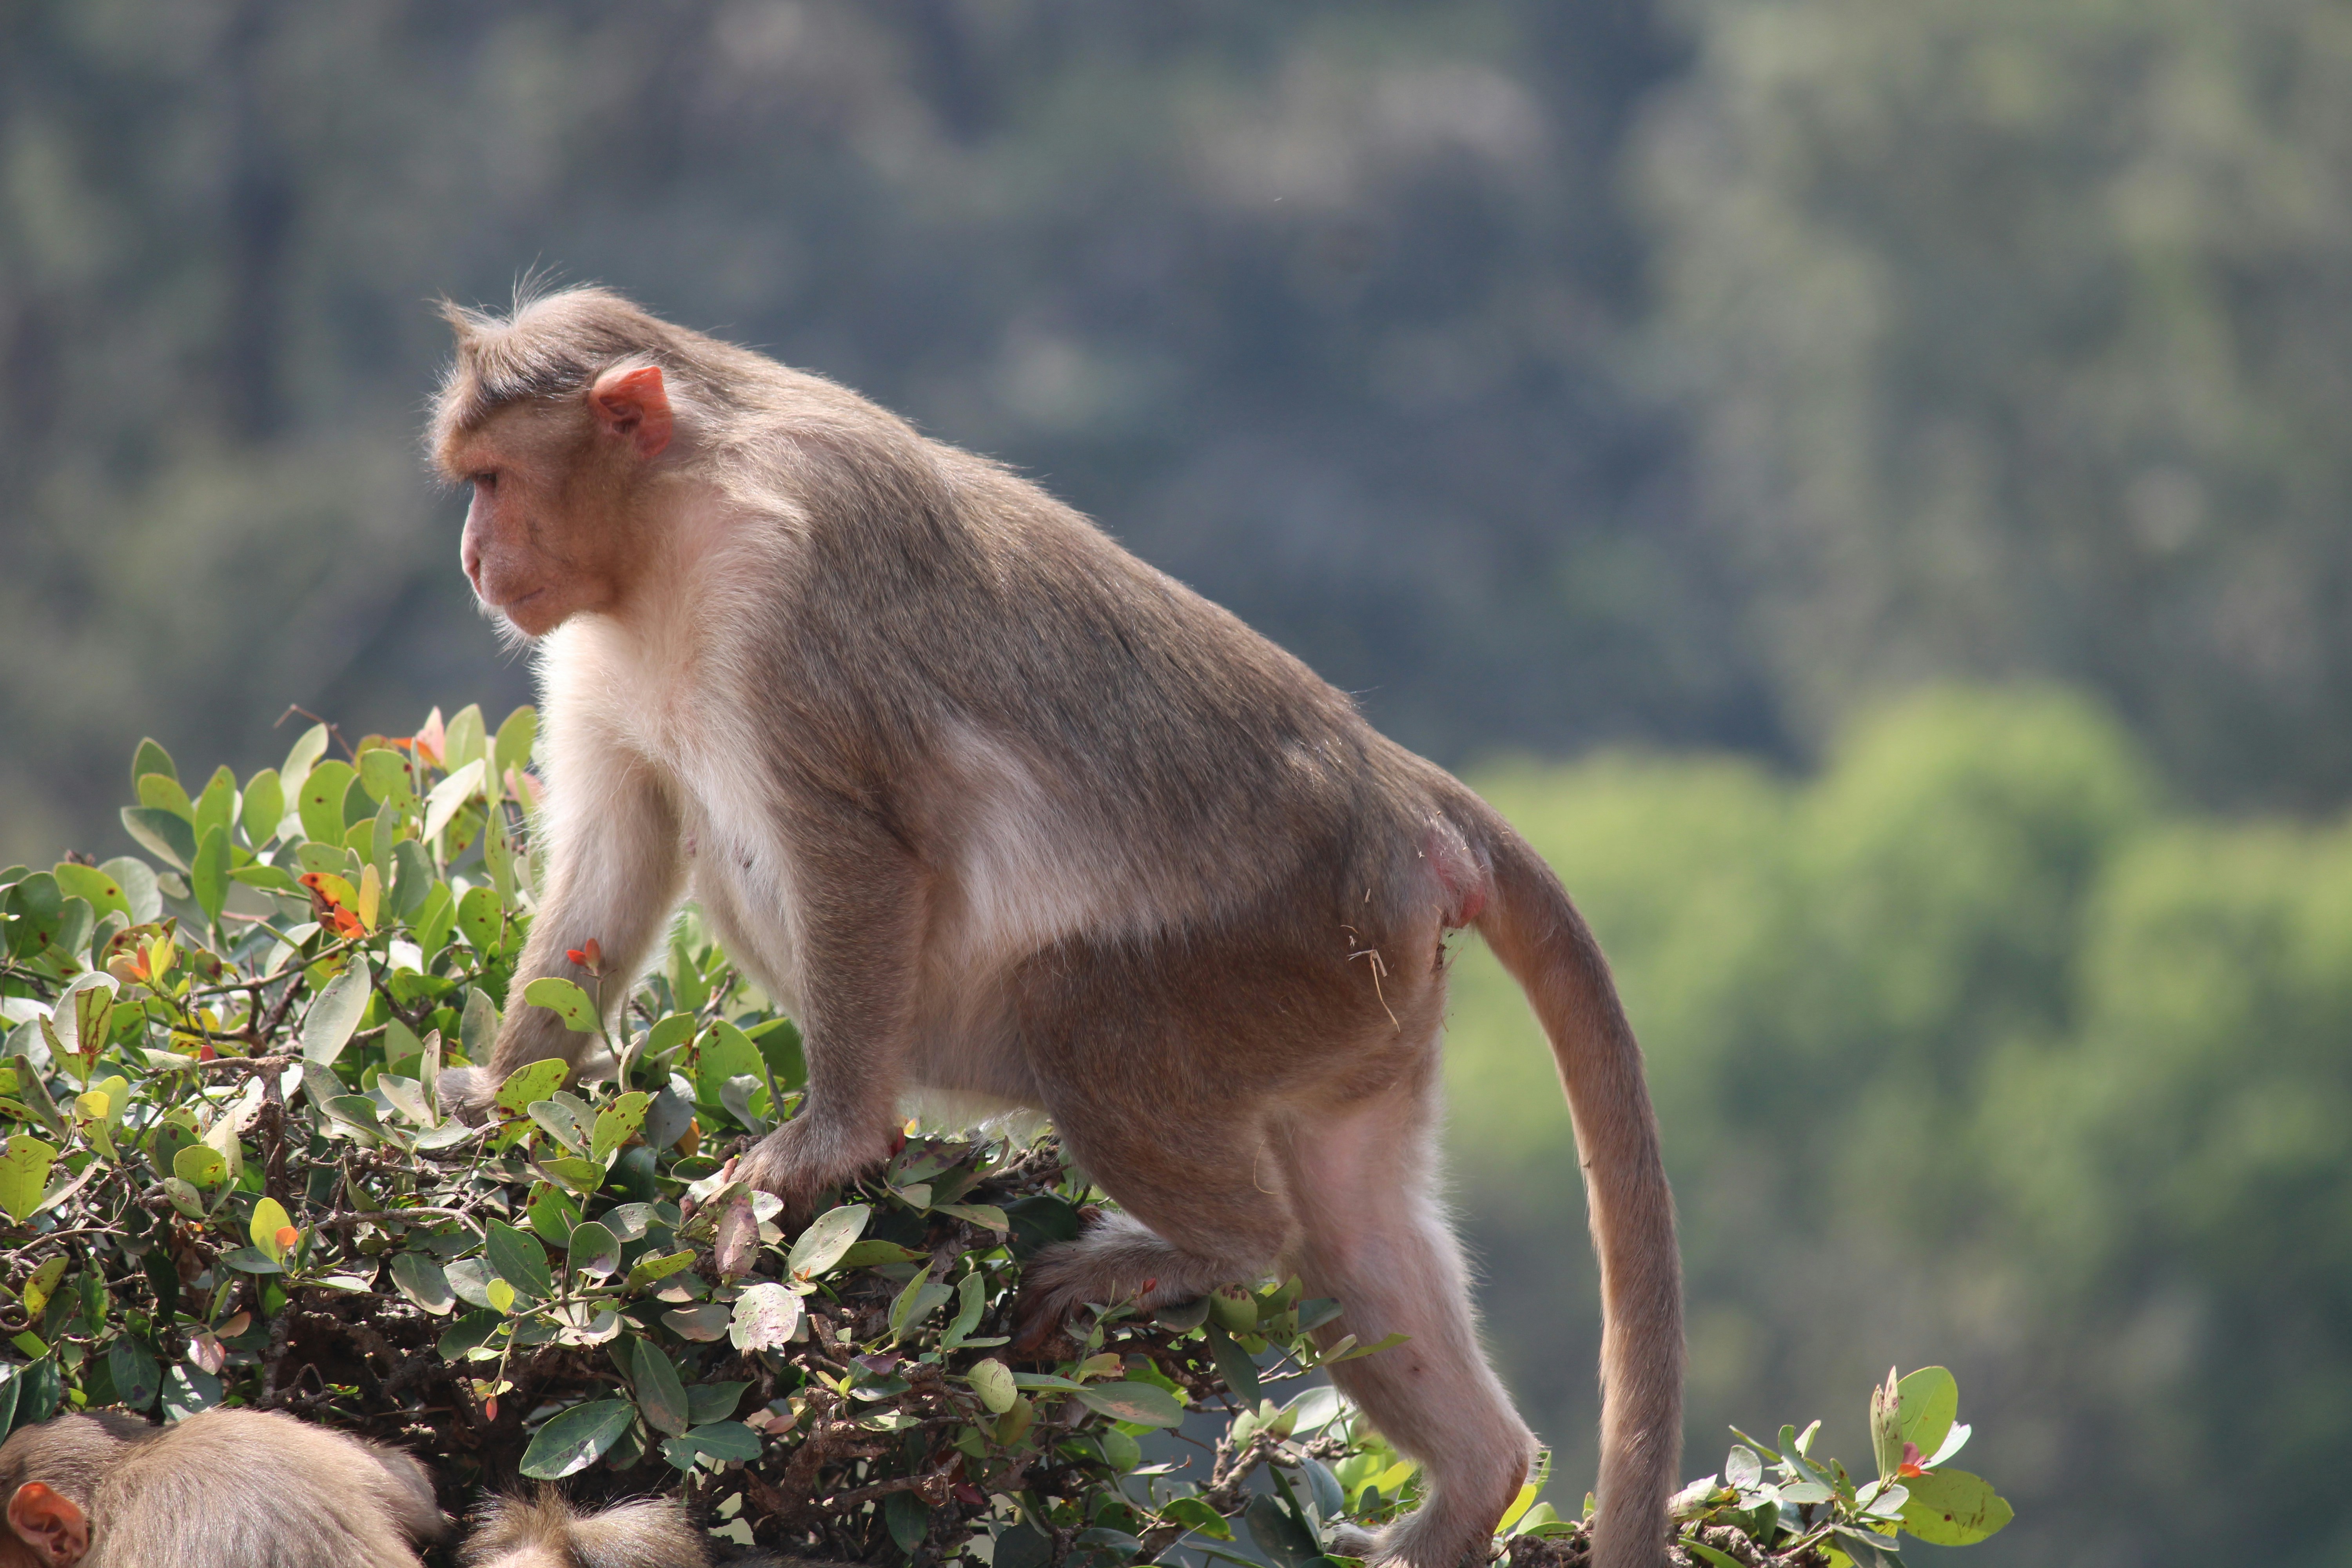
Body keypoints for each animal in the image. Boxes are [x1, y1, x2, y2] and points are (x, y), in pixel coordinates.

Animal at [427, 287, 1681, 1568]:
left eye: (494, 478)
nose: (473, 556)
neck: (672, 515)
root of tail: (1402, 797)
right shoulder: (598, 645)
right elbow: (609, 867)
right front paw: (499, 1105)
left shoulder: (781, 583)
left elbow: (855, 844)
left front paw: (825, 1146)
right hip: (1366, 1000)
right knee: (1354, 1233)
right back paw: (1476, 1477)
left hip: (1296, 948)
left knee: (1085, 1018)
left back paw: (1212, 1250)